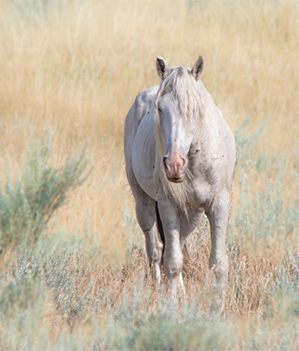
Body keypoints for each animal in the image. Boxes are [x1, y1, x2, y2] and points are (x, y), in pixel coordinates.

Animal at [124, 56, 237, 298]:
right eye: (159, 108)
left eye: (194, 109)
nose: (174, 165)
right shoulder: (168, 206)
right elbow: (172, 262)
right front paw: (171, 303)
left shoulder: (219, 205)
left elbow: (218, 263)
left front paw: (217, 304)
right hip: (143, 202)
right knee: (155, 249)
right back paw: (159, 288)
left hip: (193, 213)